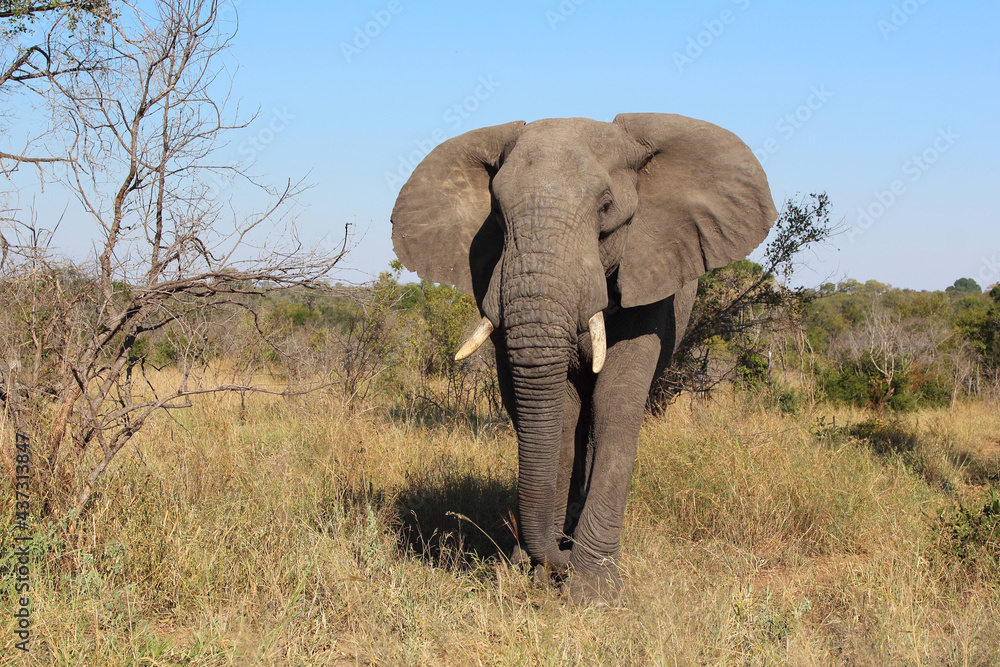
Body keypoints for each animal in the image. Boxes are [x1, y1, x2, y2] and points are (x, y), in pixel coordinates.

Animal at [390, 114, 776, 605]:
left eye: (607, 208)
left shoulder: (650, 274)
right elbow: (554, 412)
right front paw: (530, 572)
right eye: (495, 211)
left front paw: (593, 591)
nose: (554, 560)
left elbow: (617, 401)